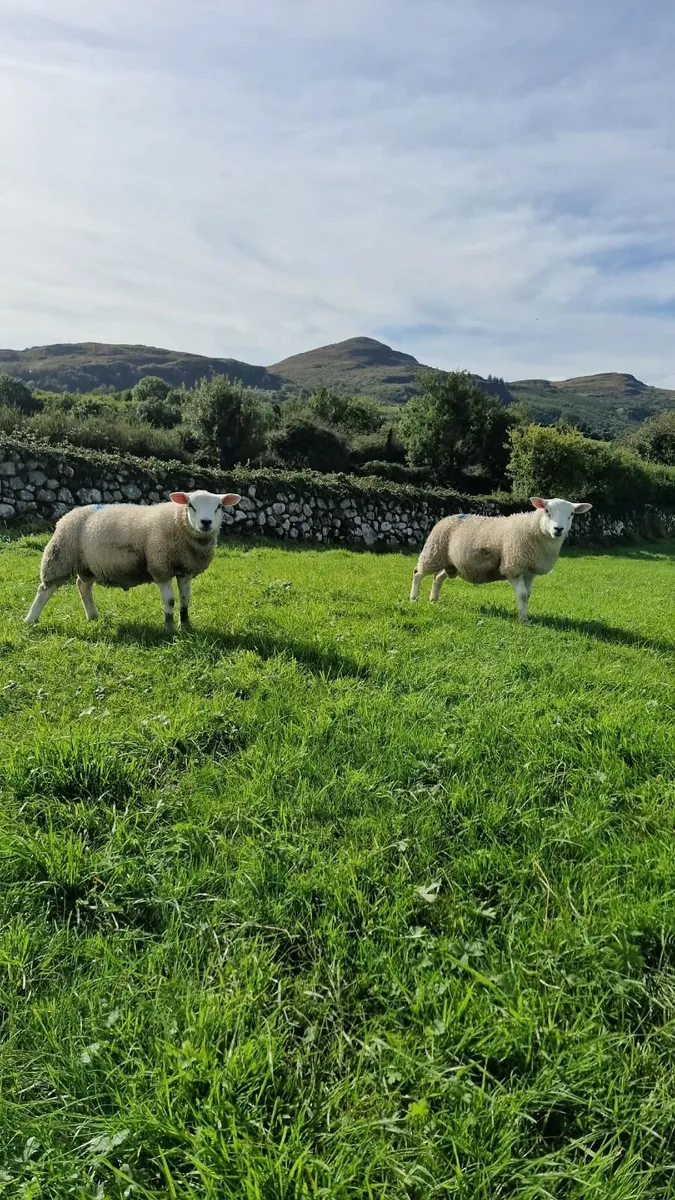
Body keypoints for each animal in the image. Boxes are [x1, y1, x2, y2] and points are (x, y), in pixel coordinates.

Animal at [25, 489, 241, 629]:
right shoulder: (160, 567)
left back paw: (93, 616)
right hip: (61, 555)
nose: (206, 522)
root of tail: (69, 514)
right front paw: (169, 628)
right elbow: (170, 601)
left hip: (89, 565)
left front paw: (186, 626)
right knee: (45, 589)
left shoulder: (185, 570)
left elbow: (185, 599)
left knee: (83, 586)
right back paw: (31, 619)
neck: (177, 523)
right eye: (190, 505)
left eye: (219, 506)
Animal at [409, 497, 592, 623]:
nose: (558, 529)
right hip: (434, 552)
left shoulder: (530, 571)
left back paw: (433, 600)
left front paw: (524, 615)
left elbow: (528, 595)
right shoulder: (513, 568)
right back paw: (414, 599)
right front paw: (523, 621)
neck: (534, 529)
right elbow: (522, 594)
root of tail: (446, 518)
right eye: (547, 511)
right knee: (418, 573)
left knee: (438, 577)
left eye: (571, 514)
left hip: (451, 563)